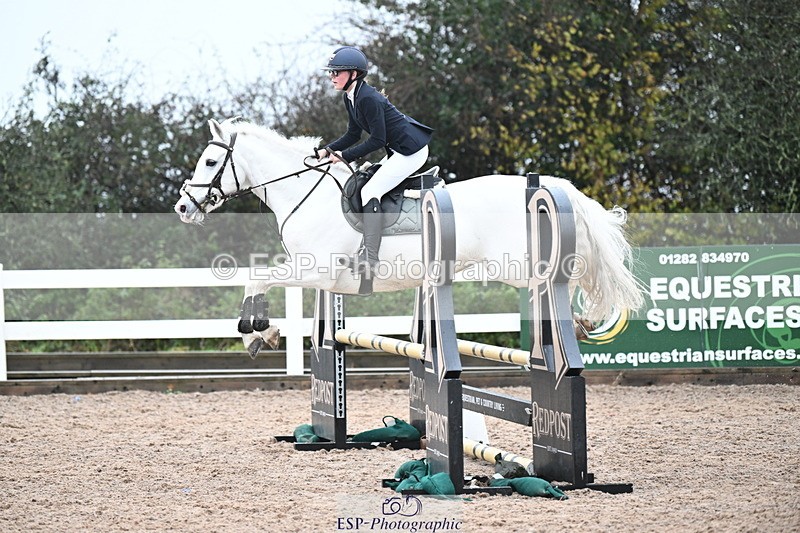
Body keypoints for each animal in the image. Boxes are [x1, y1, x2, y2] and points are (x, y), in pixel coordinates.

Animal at [174, 118, 644, 357]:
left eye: (211, 161)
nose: (183, 207)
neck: (305, 193)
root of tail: (547, 187)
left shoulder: (318, 272)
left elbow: (257, 276)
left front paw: (254, 331)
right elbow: (257, 277)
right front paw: (262, 333)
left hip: (516, 265)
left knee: (555, 281)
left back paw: (574, 327)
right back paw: (580, 325)